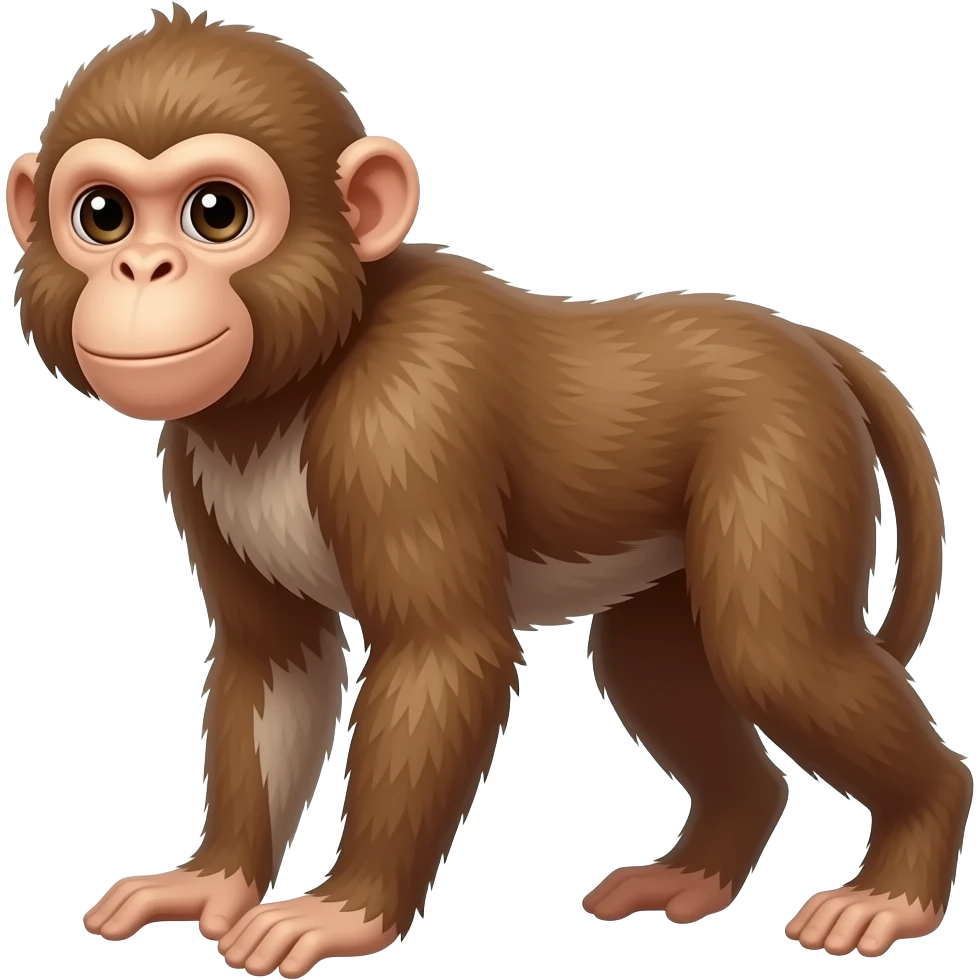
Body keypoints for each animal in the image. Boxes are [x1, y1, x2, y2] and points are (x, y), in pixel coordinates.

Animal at [5, 6, 966, 976]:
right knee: (655, 663)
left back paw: (900, 876)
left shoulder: (405, 417)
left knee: (774, 652)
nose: (143, 270)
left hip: (785, 449)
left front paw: (345, 911)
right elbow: (275, 662)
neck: (299, 380)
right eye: (104, 216)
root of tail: (809, 341)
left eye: (216, 213)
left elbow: (441, 652)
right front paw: (212, 883)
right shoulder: (192, 455)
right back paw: (701, 868)